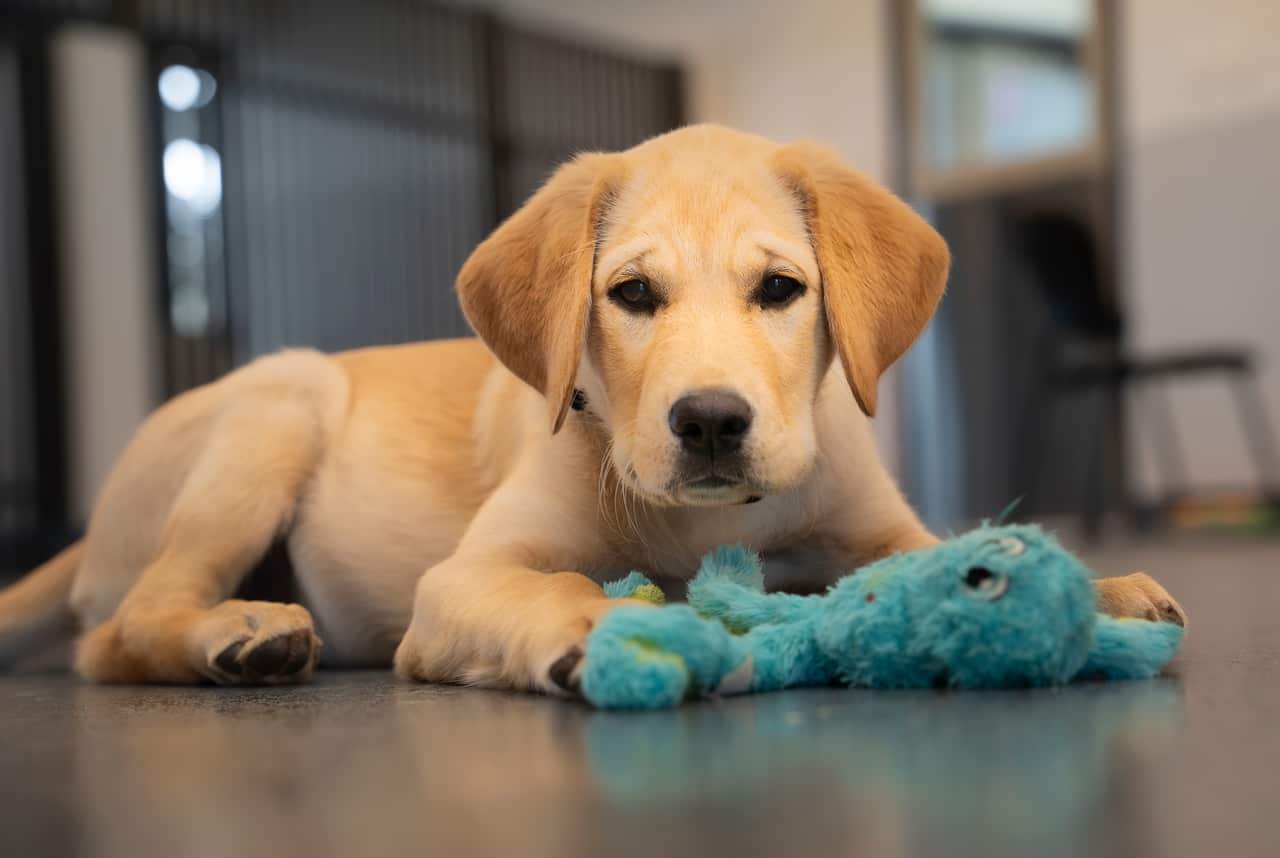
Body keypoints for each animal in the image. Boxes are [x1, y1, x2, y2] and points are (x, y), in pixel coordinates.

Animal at [0, 126, 1182, 691]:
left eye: (780, 290)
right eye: (632, 296)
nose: (709, 422)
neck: (713, 523)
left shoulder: (874, 526)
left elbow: (932, 555)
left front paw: (1095, 588)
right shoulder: (463, 579)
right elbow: (553, 583)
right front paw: (604, 622)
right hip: (277, 406)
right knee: (119, 631)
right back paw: (237, 634)